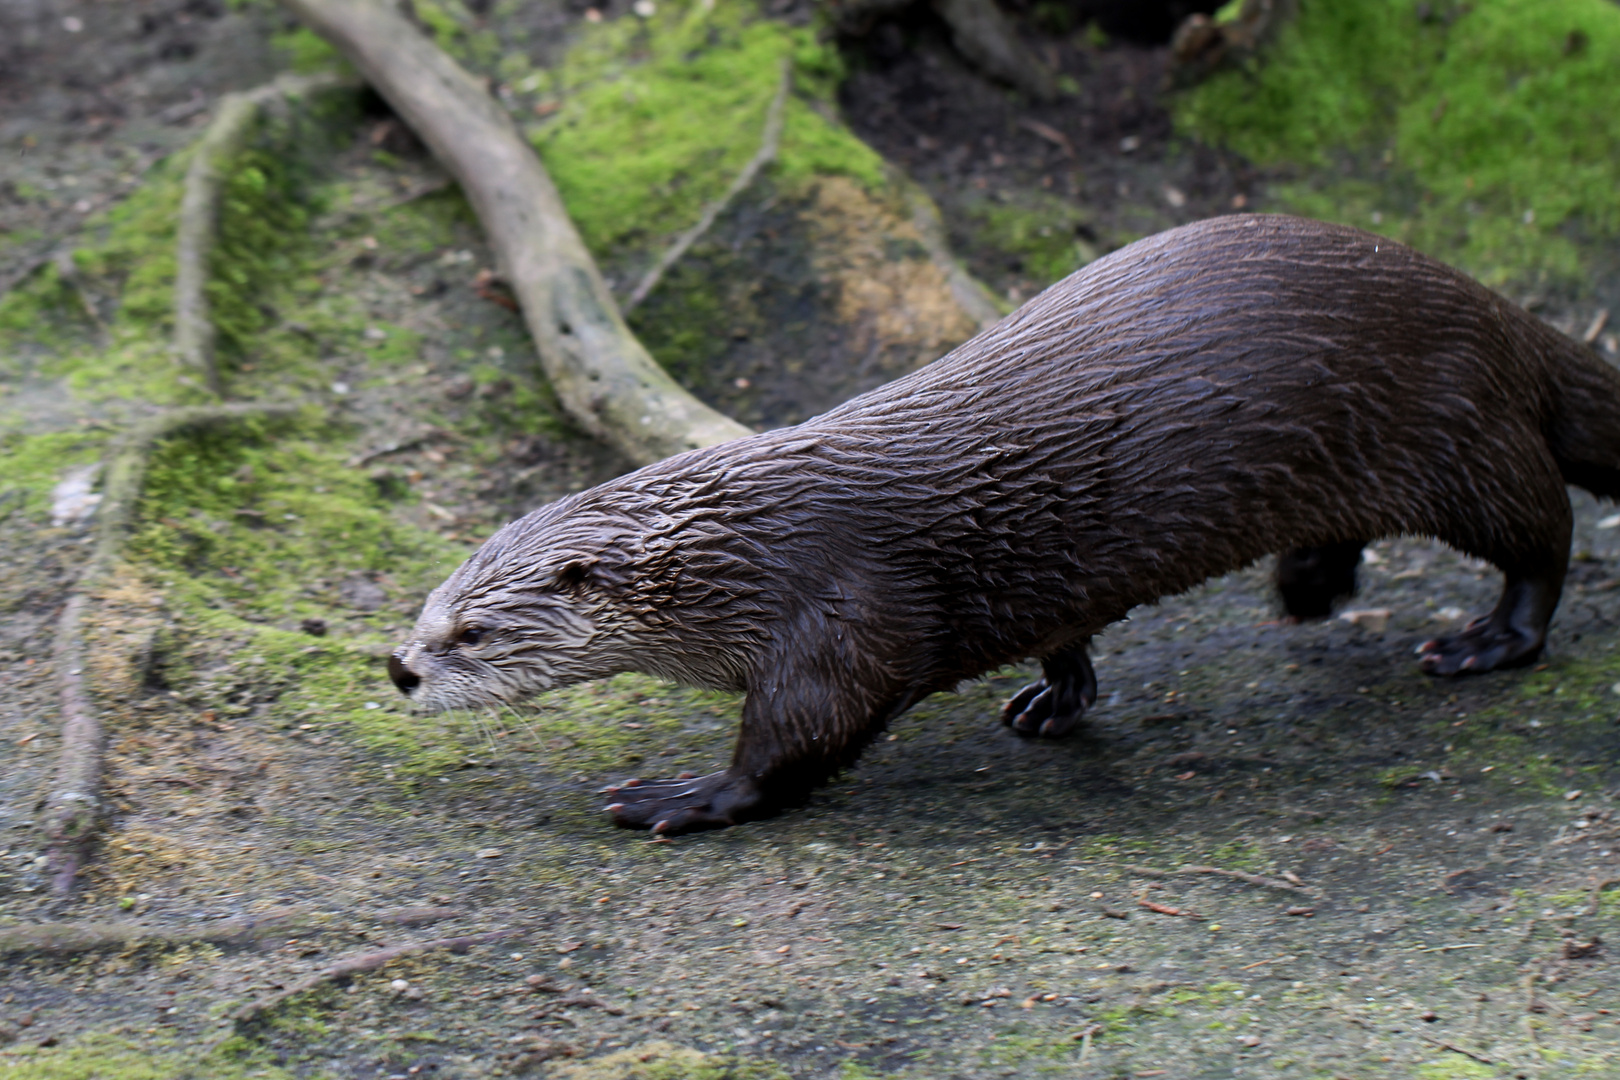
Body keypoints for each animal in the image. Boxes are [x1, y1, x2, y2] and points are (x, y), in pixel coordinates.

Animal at [388, 213, 1620, 835]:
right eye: (428, 603)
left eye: (473, 633)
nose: (398, 668)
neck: (743, 557)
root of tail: (1486, 303)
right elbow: (1061, 631)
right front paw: (1054, 697)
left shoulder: (838, 616)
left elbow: (800, 739)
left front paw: (686, 797)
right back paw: (1305, 592)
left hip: (1454, 432)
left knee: (1543, 527)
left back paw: (1487, 640)